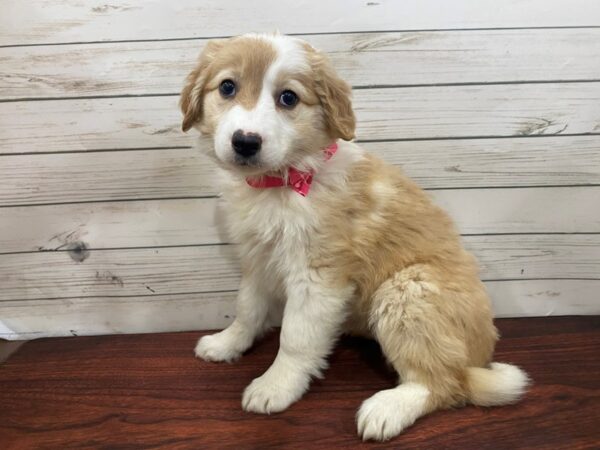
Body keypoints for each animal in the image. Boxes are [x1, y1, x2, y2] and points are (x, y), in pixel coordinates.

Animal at [179, 33, 528, 442]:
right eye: (227, 87)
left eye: (288, 98)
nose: (246, 142)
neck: (280, 184)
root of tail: (481, 356)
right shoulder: (258, 258)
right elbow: (248, 308)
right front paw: (226, 343)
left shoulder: (318, 276)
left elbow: (295, 339)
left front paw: (275, 386)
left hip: (408, 290)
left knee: (445, 384)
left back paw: (387, 409)